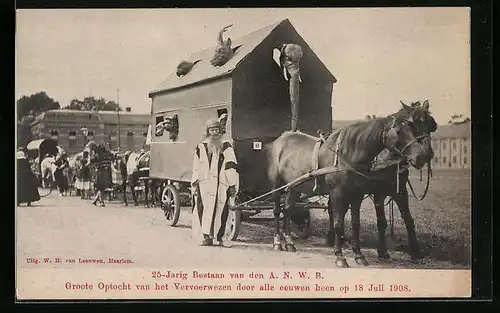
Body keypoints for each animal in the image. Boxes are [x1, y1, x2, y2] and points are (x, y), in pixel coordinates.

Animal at [266, 102, 434, 266]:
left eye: (426, 126)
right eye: (399, 131)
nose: (421, 156)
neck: (349, 153)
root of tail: (282, 137)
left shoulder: (358, 194)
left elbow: (356, 224)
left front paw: (359, 255)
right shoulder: (340, 193)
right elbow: (338, 224)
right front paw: (340, 257)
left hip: (293, 186)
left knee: (288, 209)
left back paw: (289, 242)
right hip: (276, 184)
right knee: (277, 210)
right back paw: (277, 241)